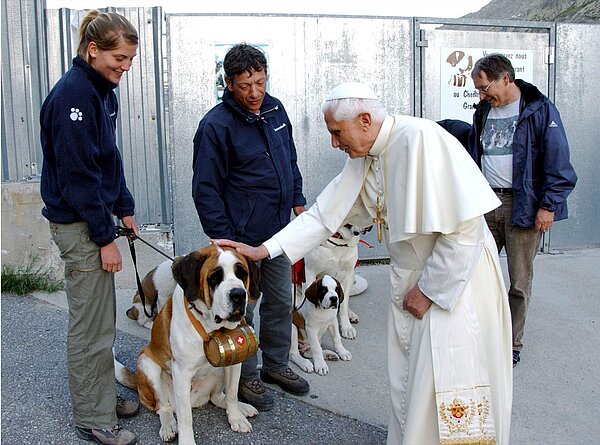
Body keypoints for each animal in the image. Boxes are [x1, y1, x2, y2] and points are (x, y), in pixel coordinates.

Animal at [115, 245, 260, 442]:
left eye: (242, 274)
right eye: (215, 278)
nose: (238, 294)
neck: (209, 326)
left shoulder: (234, 360)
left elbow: (231, 393)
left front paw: (236, 418)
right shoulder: (181, 373)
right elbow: (185, 418)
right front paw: (186, 440)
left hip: (219, 369)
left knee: (217, 397)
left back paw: (242, 408)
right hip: (147, 365)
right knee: (163, 408)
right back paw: (168, 426)